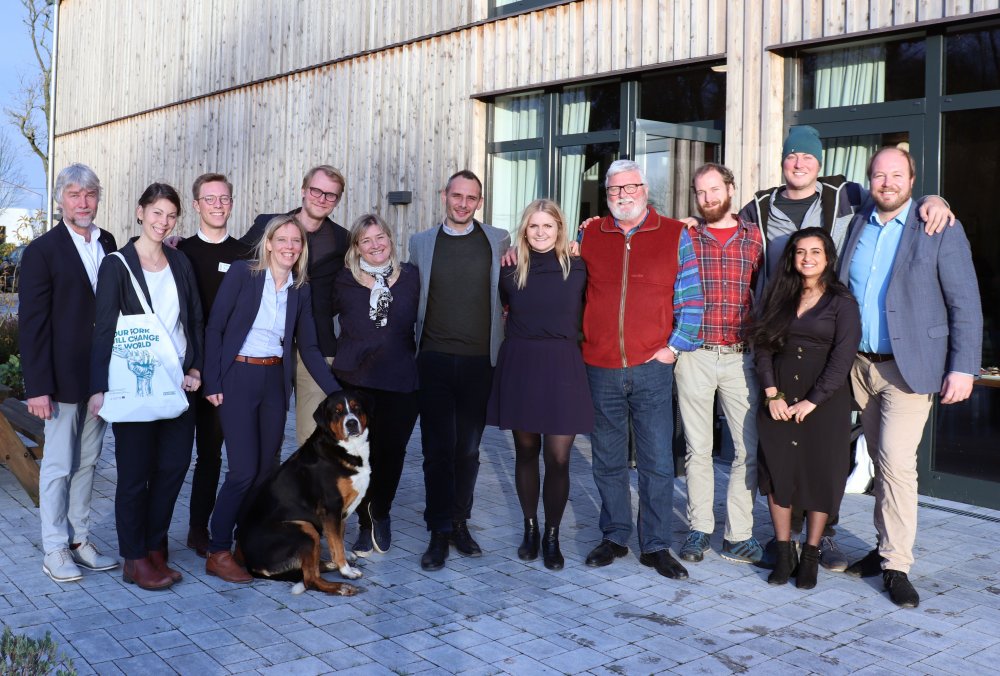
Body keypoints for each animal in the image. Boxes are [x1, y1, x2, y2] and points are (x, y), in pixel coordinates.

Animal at [237, 390, 372, 596]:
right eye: (337, 412)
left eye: (356, 407)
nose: (351, 423)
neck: (343, 448)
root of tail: (251, 564)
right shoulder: (331, 507)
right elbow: (336, 542)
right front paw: (346, 570)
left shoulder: (339, 512)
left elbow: (338, 538)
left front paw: (343, 557)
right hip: (304, 529)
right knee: (310, 579)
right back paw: (342, 586)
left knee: (311, 568)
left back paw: (330, 564)